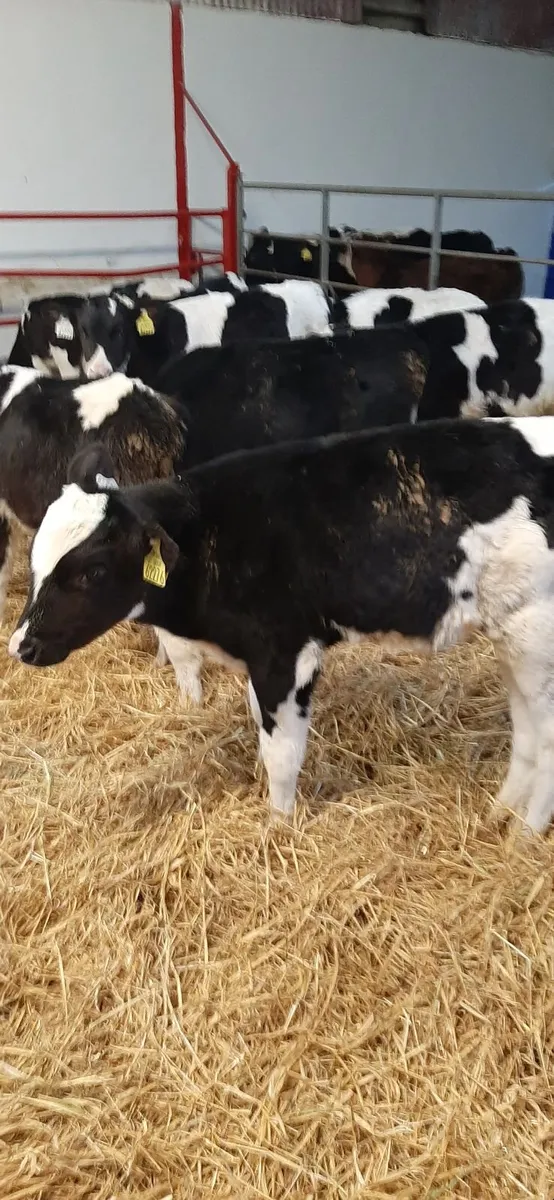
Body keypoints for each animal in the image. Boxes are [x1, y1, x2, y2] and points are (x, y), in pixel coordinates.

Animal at [10, 415, 554, 835]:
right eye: (36, 557)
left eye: (93, 572)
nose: (21, 645)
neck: (212, 535)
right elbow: (260, 726)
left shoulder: (286, 654)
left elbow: (283, 751)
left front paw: (279, 825)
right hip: (513, 637)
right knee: (527, 732)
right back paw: (500, 814)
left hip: (536, 636)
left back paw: (523, 838)